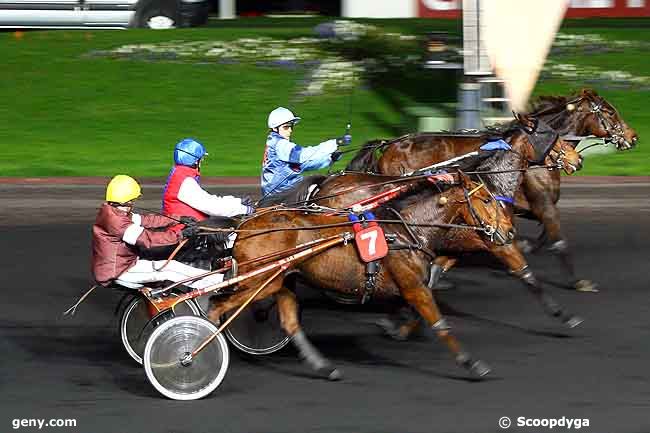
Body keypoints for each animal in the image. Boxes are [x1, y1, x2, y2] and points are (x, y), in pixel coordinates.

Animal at [210, 172, 520, 378]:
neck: (407, 230)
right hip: (260, 280)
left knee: (289, 322)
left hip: (281, 279)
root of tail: (245, 225)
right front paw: (471, 363)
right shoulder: (413, 286)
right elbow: (440, 323)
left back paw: (324, 366)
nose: (509, 231)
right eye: (486, 199)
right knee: (216, 305)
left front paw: (396, 328)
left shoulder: (414, 286)